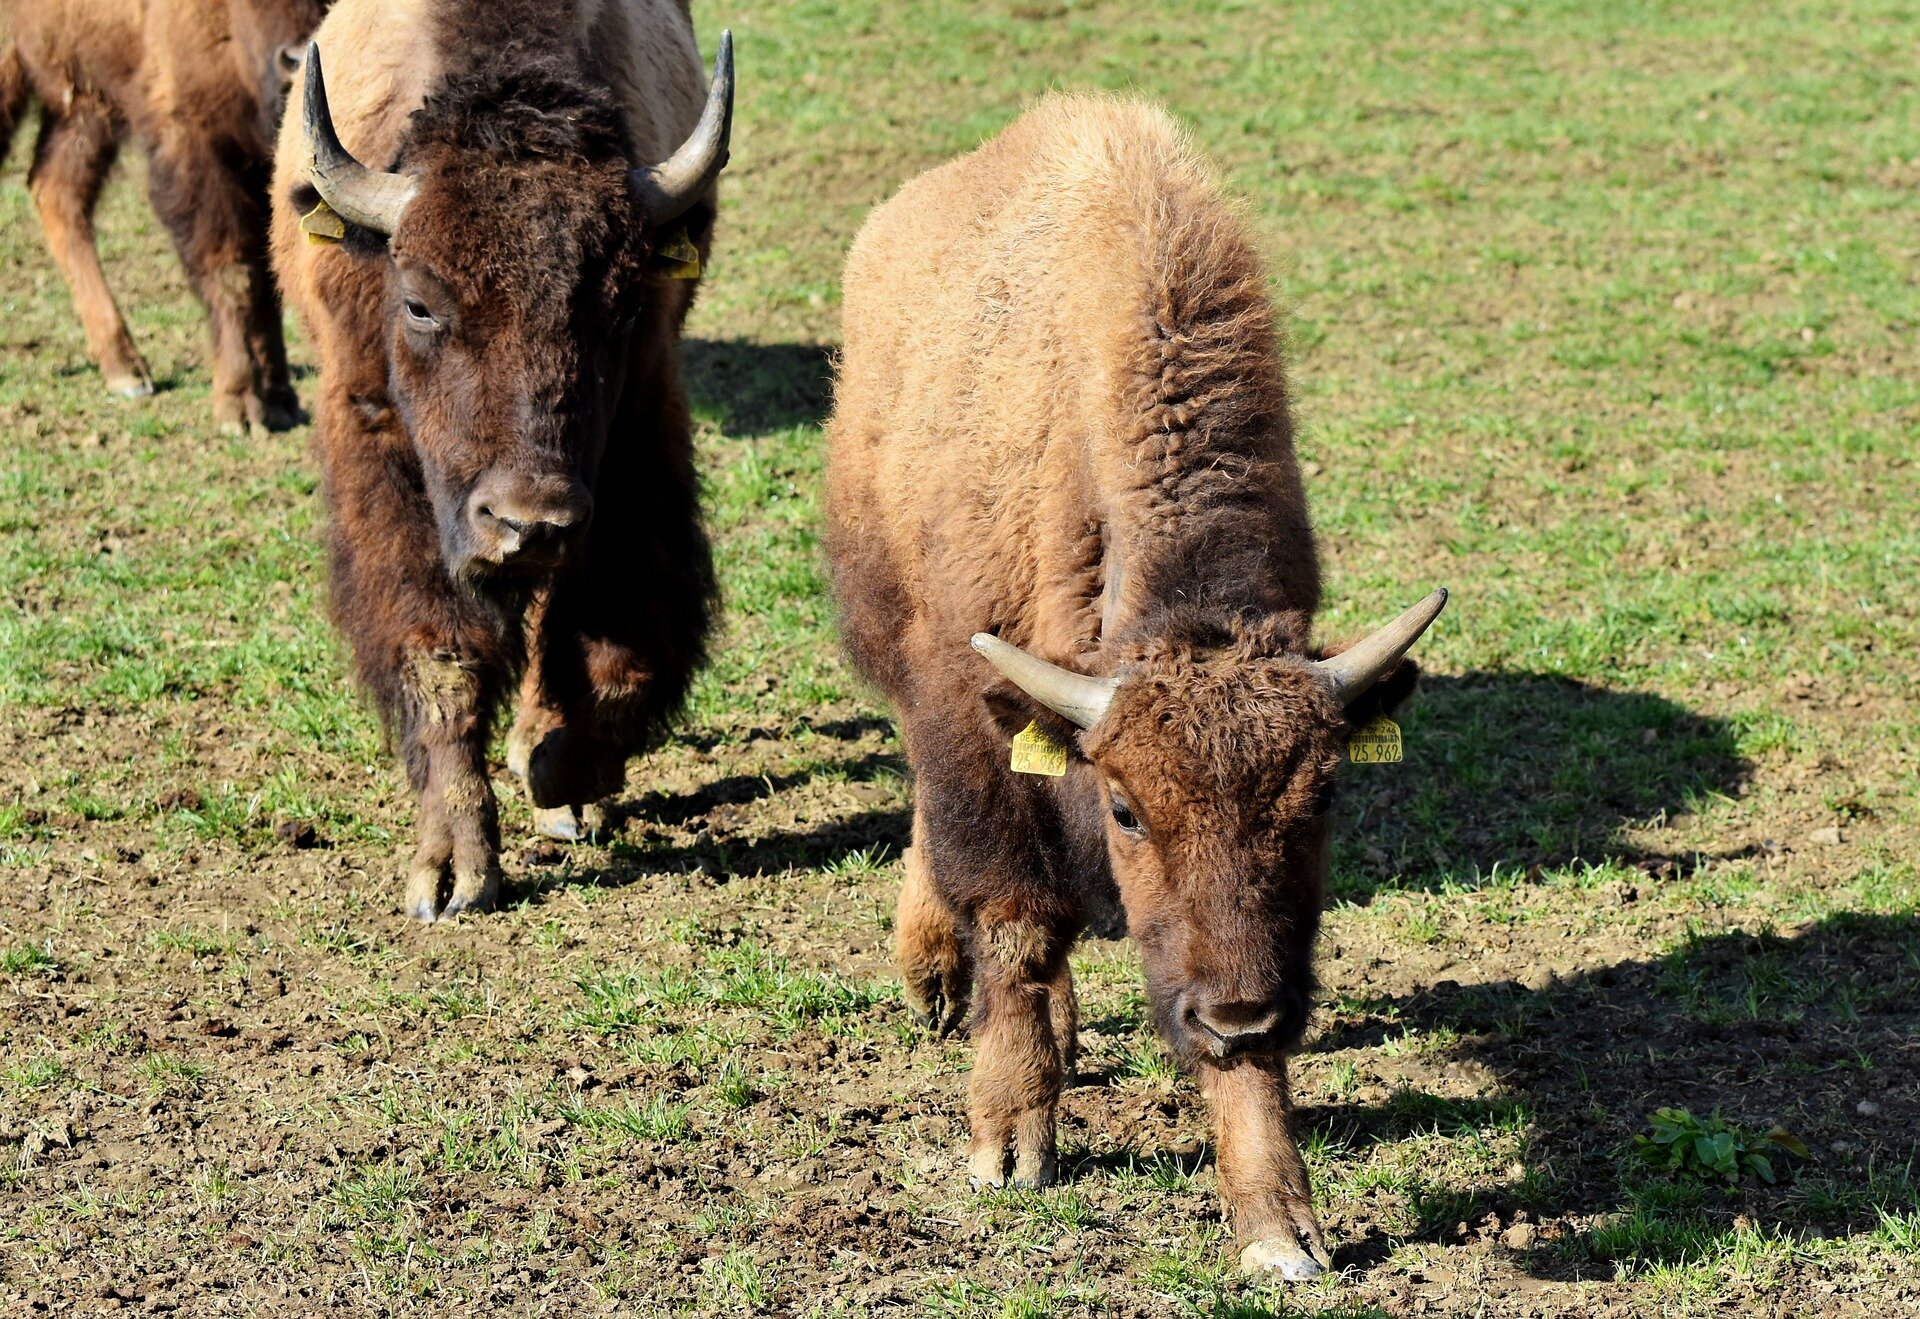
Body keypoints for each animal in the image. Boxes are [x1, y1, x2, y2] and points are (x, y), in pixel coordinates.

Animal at [0, 0, 324, 428]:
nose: (297, 58)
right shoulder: (194, 145)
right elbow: (232, 271)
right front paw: (239, 405)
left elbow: (265, 273)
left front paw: (281, 399)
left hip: (87, 100)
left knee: (57, 193)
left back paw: (125, 370)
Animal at [274, 0, 737, 925]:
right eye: (420, 301)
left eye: (621, 305)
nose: (530, 522)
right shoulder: (383, 463)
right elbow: (437, 654)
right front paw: (452, 871)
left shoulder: (636, 447)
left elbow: (619, 650)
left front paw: (558, 773)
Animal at [821, 95, 1443, 1290]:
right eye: (1126, 808)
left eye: (1326, 798)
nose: (1243, 1013)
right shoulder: (971, 720)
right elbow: (1014, 919)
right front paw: (1008, 1145)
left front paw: (1277, 1226)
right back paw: (940, 981)